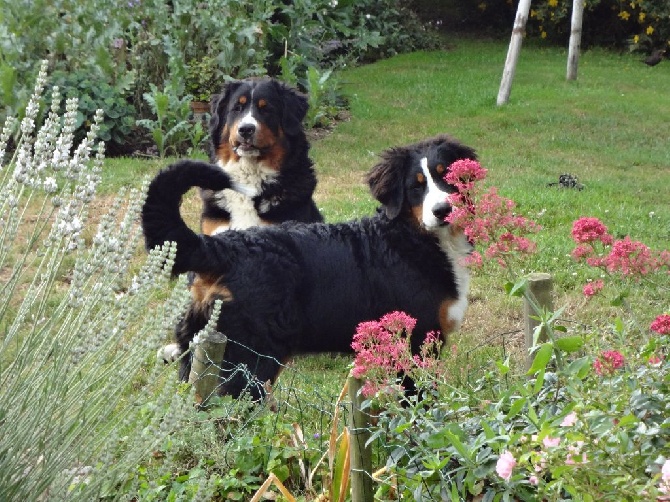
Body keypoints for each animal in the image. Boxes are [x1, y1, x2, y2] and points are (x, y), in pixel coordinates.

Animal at [142, 134, 478, 400]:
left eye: (447, 176)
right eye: (416, 187)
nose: (443, 210)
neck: (414, 238)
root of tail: (222, 246)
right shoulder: (414, 343)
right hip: (249, 361)